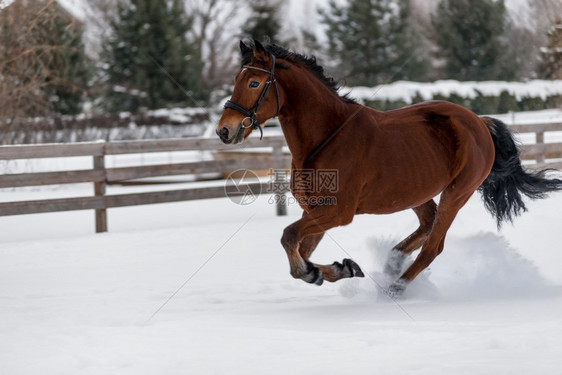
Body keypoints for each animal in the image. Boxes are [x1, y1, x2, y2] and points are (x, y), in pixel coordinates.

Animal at [215, 39, 560, 296]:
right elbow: (302, 252)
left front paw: (320, 271)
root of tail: (478, 122)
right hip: (417, 192)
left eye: (254, 82)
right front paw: (338, 268)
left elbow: (289, 239)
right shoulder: (314, 211)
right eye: (235, 80)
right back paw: (392, 262)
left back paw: (396, 286)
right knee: (427, 226)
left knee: (434, 244)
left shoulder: (337, 212)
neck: (326, 138)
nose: (224, 130)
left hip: (457, 192)